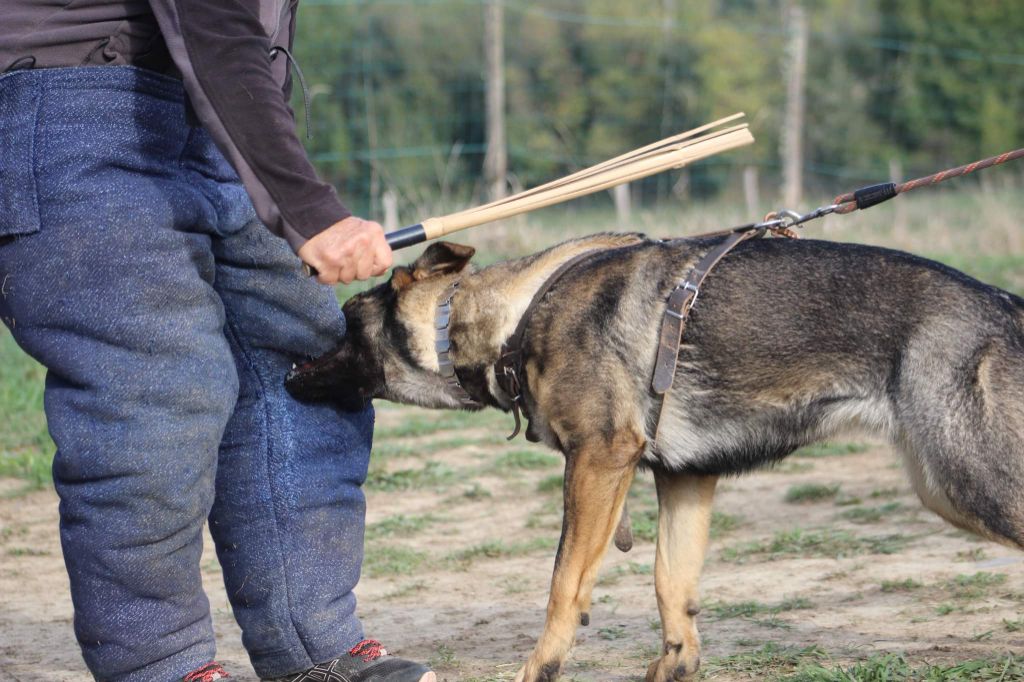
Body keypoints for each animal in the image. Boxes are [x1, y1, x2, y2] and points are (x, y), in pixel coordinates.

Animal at [284, 233, 1024, 679]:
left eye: (344, 321)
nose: (284, 364)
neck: (508, 318)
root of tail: (1007, 303)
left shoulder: (598, 463)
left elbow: (563, 584)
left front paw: (541, 667)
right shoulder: (684, 479)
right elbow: (673, 583)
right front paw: (677, 664)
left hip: (962, 482)